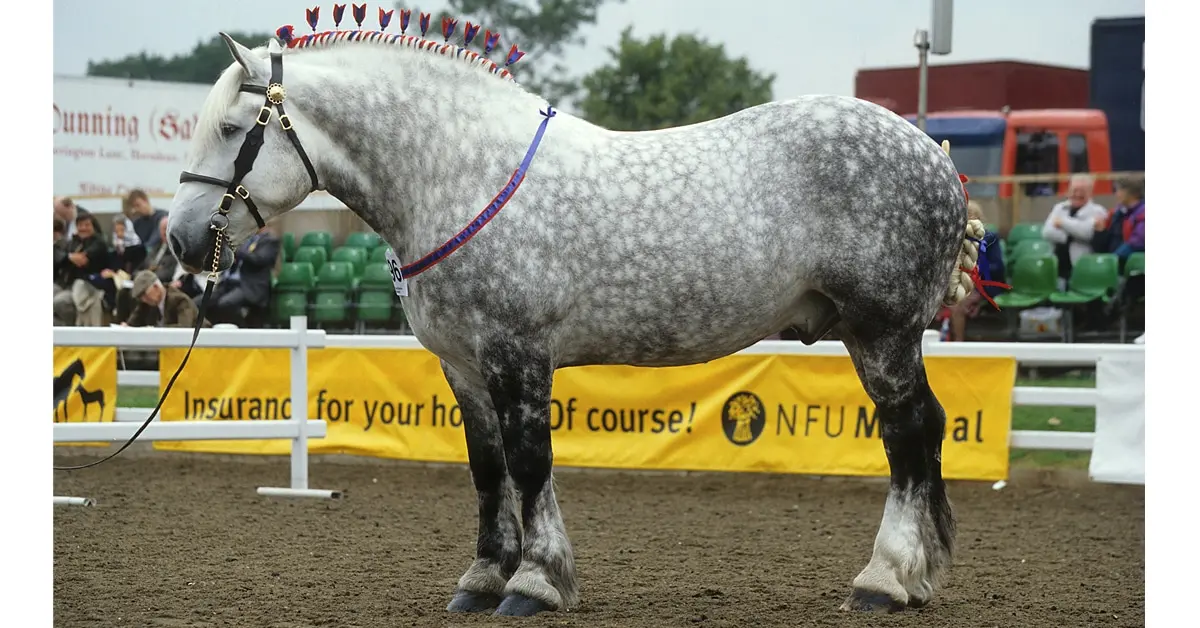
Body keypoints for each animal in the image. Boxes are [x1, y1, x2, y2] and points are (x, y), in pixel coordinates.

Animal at [164, 8, 988, 617]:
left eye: (234, 131)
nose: (179, 240)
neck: (460, 174)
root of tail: (934, 153)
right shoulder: (464, 369)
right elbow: (488, 470)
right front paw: (483, 579)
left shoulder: (517, 355)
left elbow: (531, 463)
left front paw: (536, 583)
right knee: (923, 434)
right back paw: (915, 576)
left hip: (882, 333)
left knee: (909, 437)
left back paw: (884, 580)